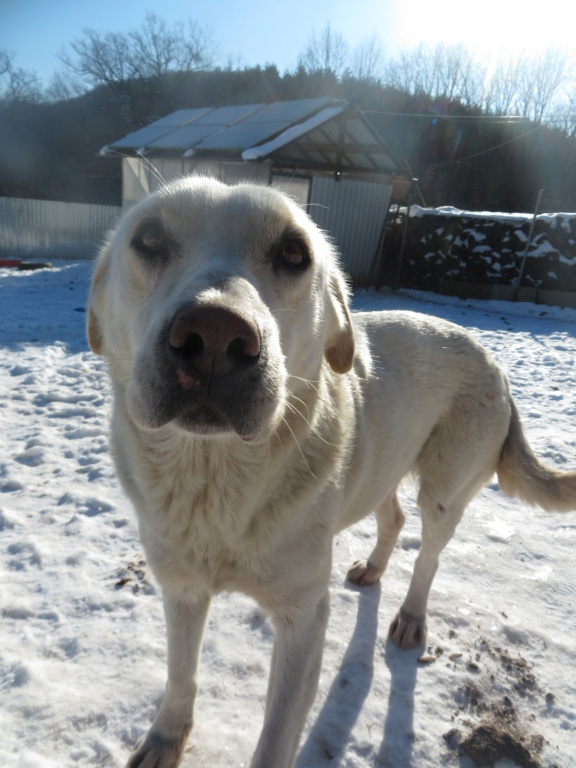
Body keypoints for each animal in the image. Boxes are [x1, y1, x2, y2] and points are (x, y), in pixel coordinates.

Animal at [86, 176, 576, 768]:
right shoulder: (181, 589)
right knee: (392, 519)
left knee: (429, 554)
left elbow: (275, 739)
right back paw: (373, 569)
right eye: (150, 239)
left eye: (294, 252)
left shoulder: (304, 621)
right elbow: (181, 676)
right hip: (383, 464)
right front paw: (165, 740)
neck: (216, 480)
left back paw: (411, 617)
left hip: (445, 490)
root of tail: (495, 360)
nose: (216, 337)